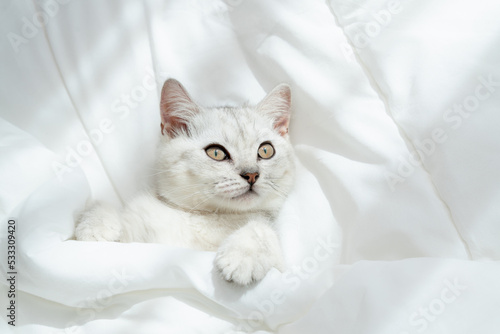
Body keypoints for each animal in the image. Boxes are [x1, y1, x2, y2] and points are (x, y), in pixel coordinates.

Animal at [75, 79, 294, 284]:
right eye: (216, 152)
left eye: (265, 150)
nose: (251, 175)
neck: (204, 218)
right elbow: (100, 206)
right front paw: (96, 227)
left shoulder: (280, 268)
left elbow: (262, 230)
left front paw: (242, 256)